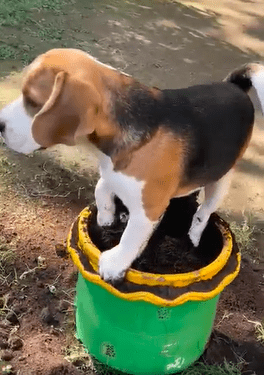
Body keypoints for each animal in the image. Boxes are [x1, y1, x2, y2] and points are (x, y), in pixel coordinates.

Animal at [0, 48, 264, 280]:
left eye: (33, 101)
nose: (0, 125)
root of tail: (234, 86)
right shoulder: (115, 172)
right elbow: (102, 187)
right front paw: (107, 216)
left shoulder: (150, 208)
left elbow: (131, 237)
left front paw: (114, 263)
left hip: (220, 180)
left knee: (204, 212)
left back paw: (194, 236)